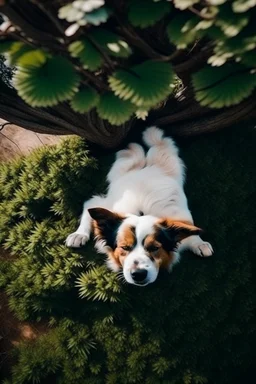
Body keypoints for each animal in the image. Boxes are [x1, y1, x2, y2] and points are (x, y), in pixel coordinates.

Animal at [65, 127, 212, 286]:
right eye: (124, 247)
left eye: (154, 248)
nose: (138, 274)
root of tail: (143, 166)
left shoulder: (180, 215)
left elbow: (192, 231)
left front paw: (199, 244)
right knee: (90, 203)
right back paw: (79, 234)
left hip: (168, 161)